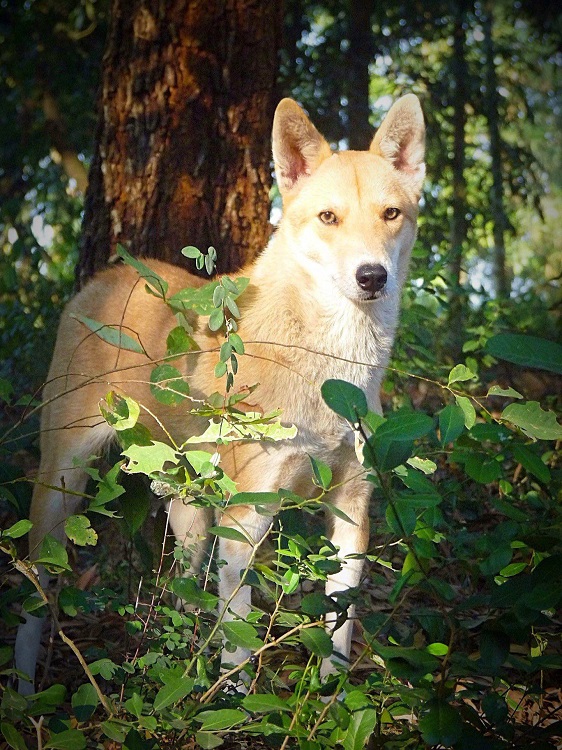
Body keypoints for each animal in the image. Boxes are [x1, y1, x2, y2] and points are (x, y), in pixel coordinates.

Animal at [14, 94, 424, 692]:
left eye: (391, 214)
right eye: (329, 218)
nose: (372, 276)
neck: (330, 372)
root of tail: (102, 279)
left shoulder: (351, 509)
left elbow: (339, 628)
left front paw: (327, 697)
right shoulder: (247, 518)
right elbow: (239, 635)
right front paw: (233, 703)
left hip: (189, 509)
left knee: (185, 593)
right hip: (62, 485)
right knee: (34, 594)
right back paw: (24, 690)